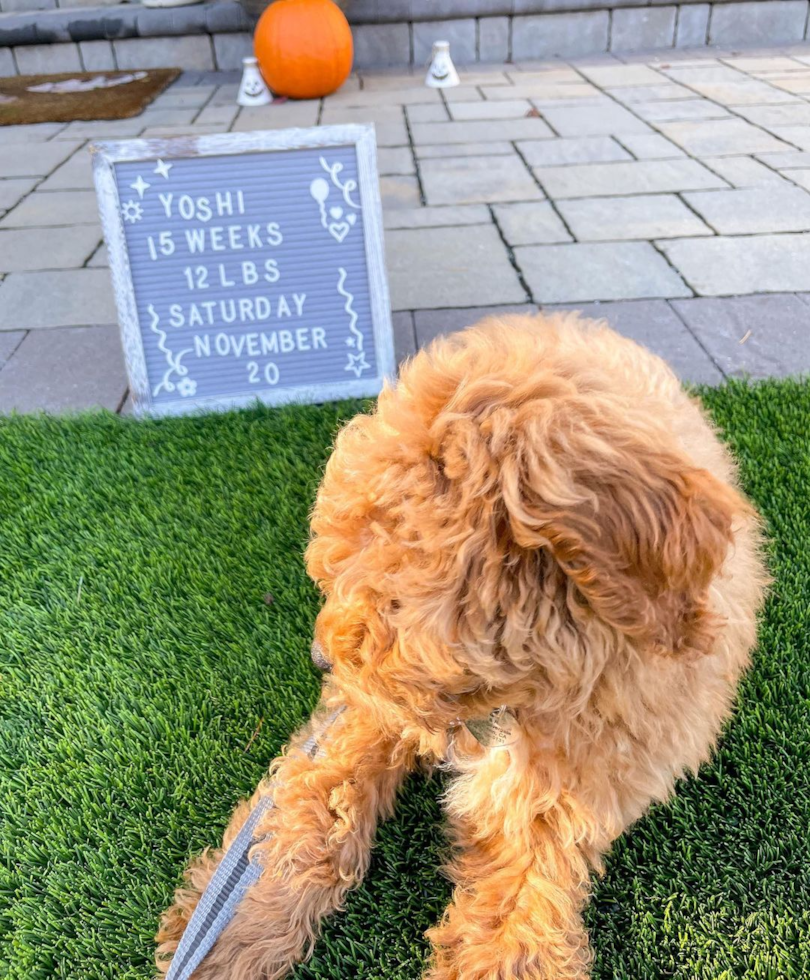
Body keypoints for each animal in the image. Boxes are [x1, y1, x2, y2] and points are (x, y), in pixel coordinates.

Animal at [156, 316, 764, 980]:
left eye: (391, 596)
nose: (321, 662)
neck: (516, 695)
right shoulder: (376, 711)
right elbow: (318, 797)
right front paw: (232, 930)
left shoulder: (555, 801)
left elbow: (517, 917)